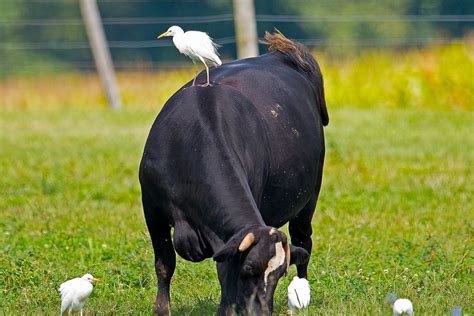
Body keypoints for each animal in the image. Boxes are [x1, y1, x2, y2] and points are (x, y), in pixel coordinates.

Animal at [139, 30, 328, 314]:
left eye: (278, 275)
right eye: (249, 268)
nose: (261, 311)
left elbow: (224, 272)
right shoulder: (153, 211)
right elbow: (164, 264)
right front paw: (162, 309)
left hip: (310, 197)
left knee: (303, 242)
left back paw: (300, 296)